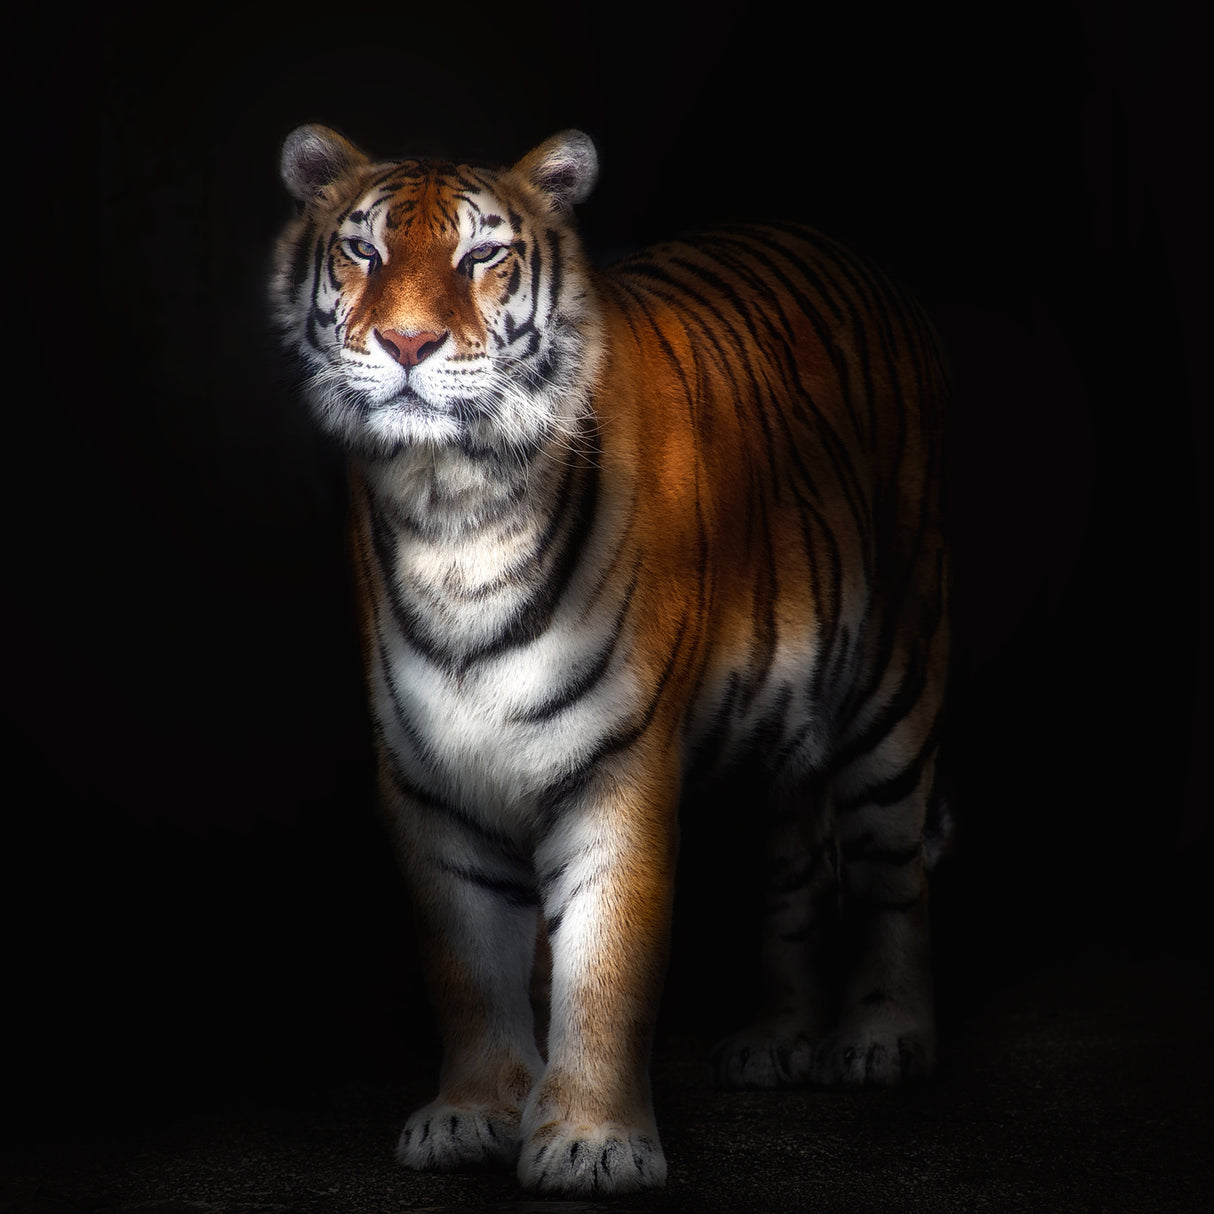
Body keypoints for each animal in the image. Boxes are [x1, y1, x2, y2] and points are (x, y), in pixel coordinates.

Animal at [270, 123, 950, 1197]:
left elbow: (606, 969)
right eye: (363, 253)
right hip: (780, 732)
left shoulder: (617, 767)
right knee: (797, 867)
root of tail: (851, 254)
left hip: (894, 681)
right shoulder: (428, 783)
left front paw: (592, 1145)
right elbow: (468, 969)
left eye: (482, 256)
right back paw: (775, 1041)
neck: (455, 509)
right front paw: (470, 1116)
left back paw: (882, 1041)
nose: (407, 345)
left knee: (892, 871)